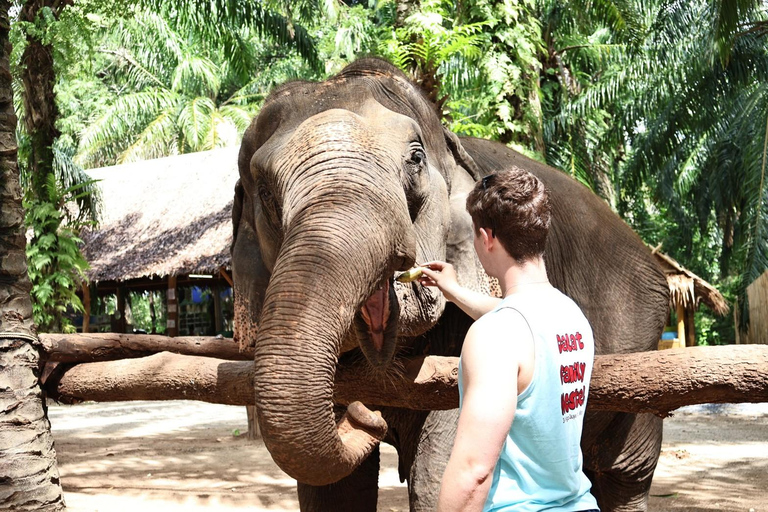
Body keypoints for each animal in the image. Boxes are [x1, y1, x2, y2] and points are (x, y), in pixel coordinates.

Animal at [231, 58, 668, 510]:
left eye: (416, 159)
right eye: (265, 191)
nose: (364, 414)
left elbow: (438, 468)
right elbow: (330, 489)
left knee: (626, 469)